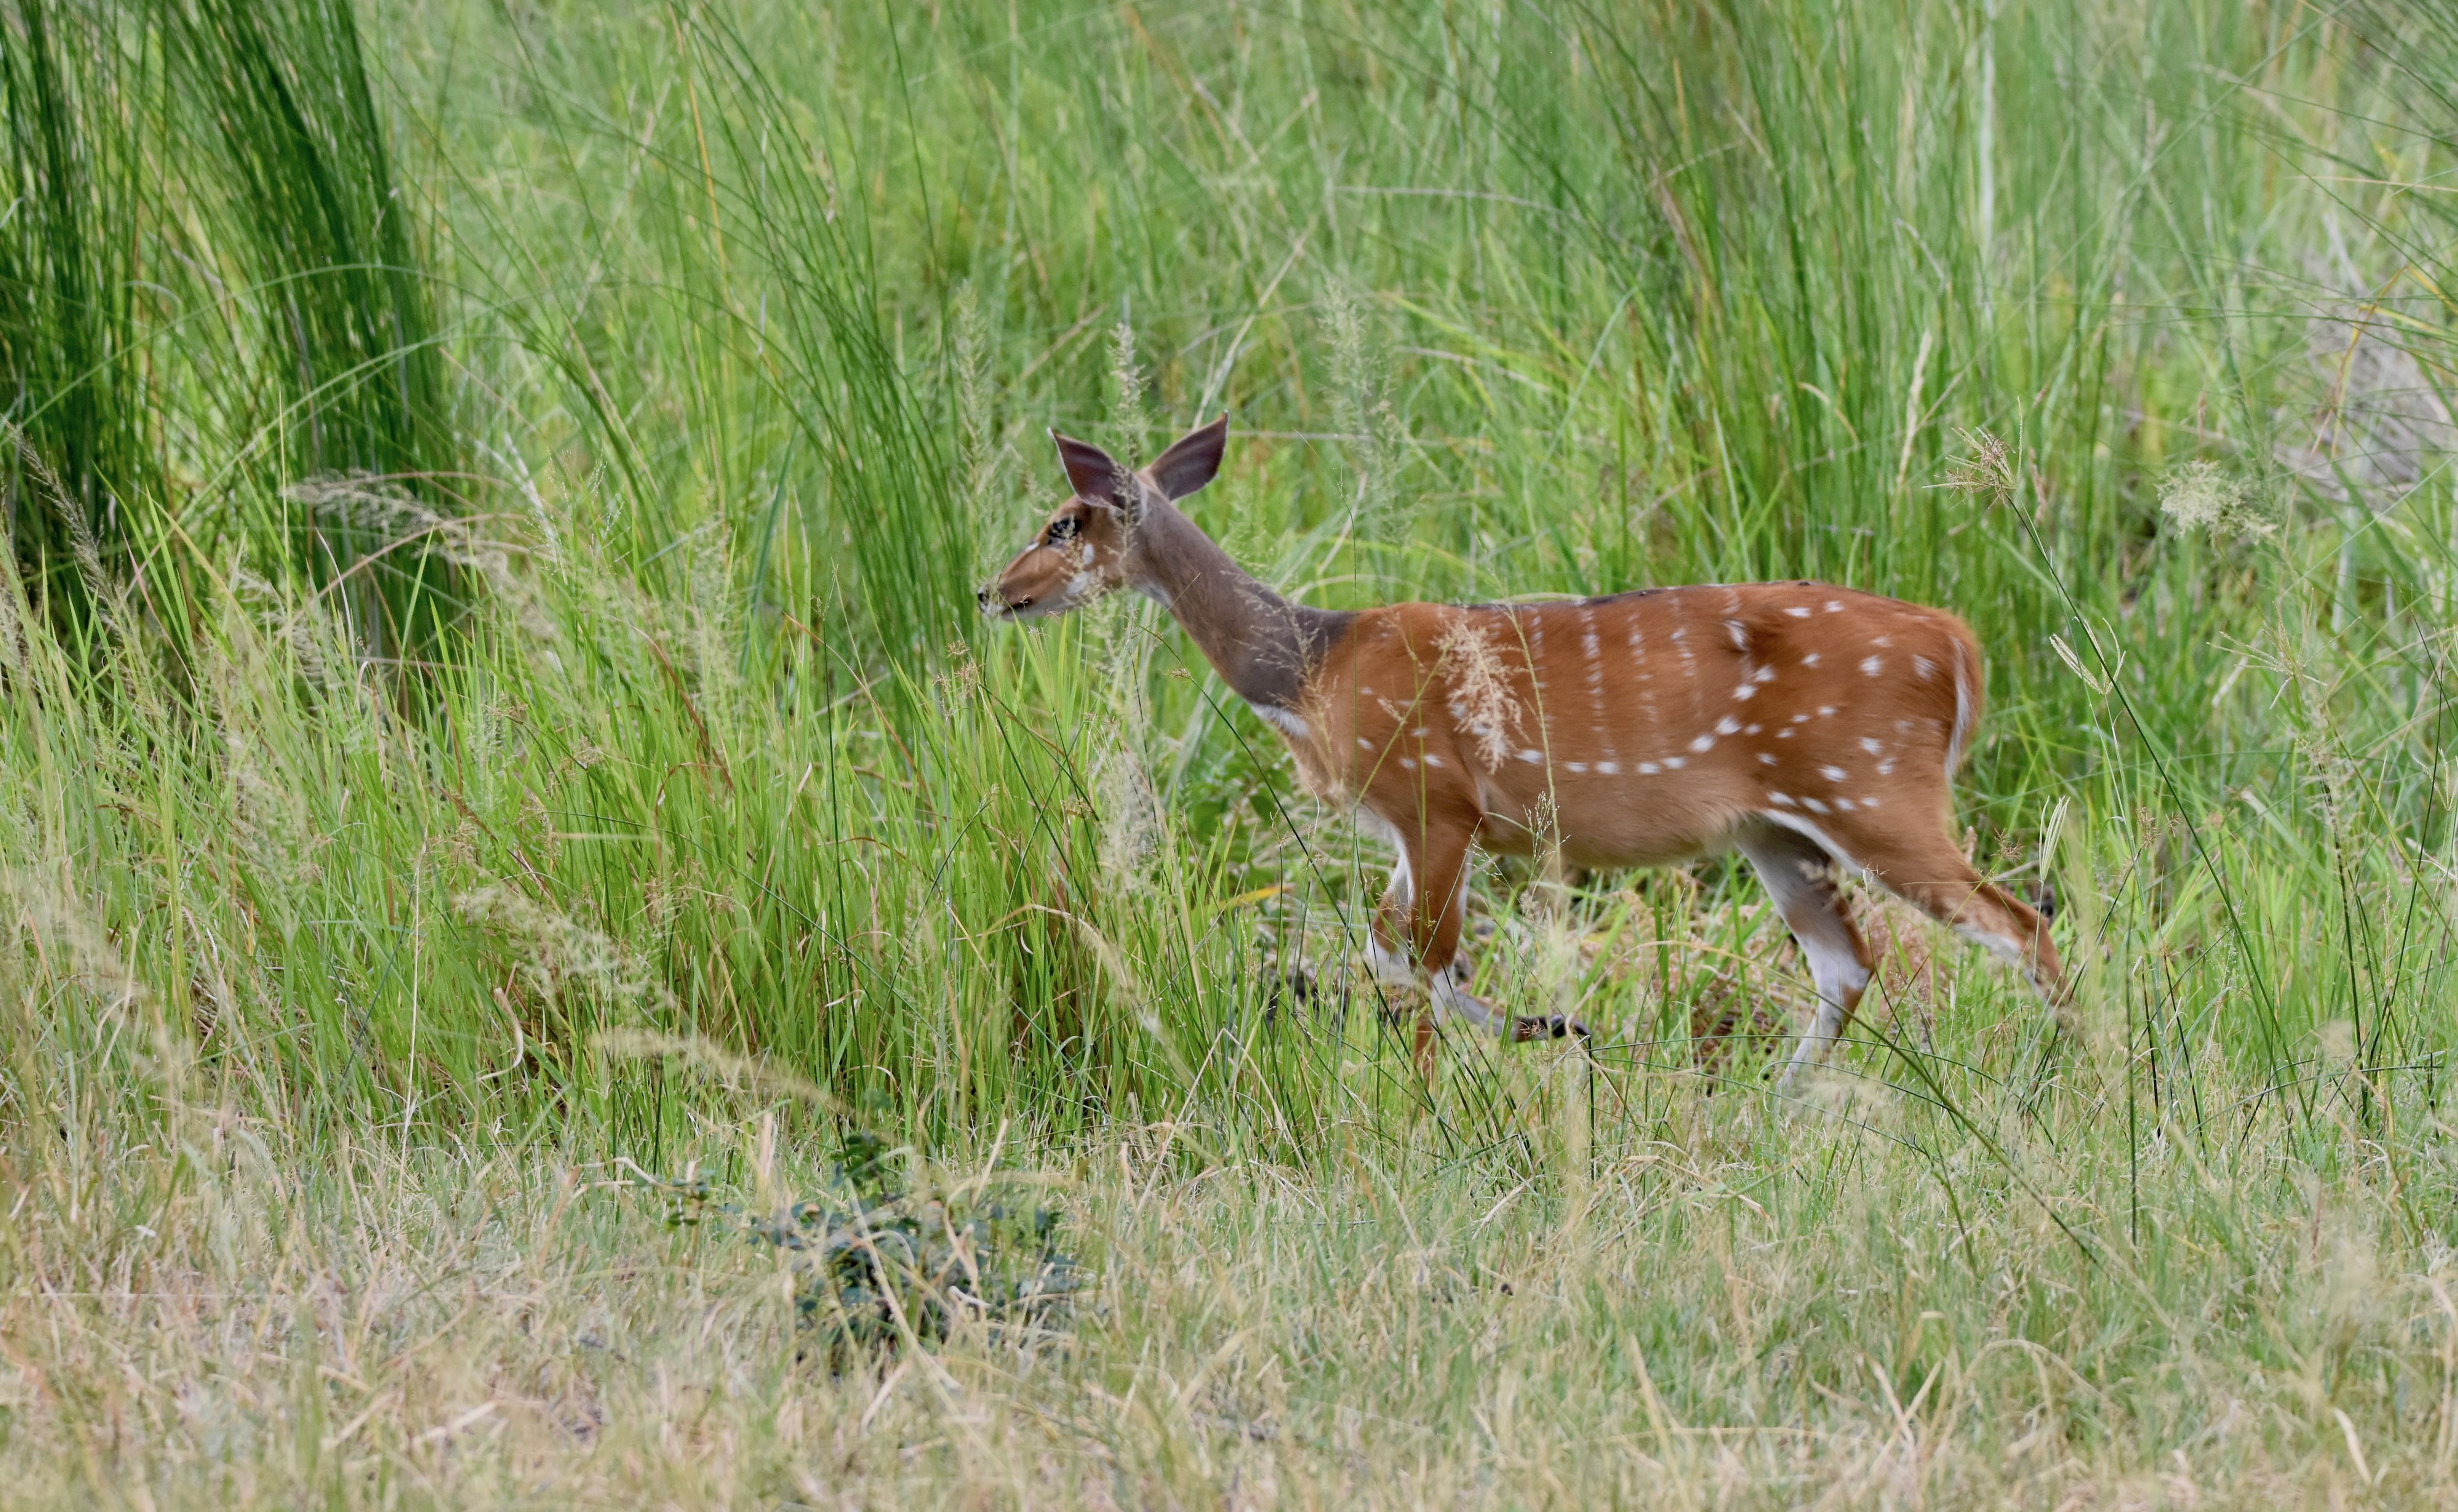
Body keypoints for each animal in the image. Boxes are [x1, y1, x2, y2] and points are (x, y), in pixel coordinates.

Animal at [978, 413, 2055, 1076]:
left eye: (1061, 522)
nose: (991, 590)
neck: (1311, 669)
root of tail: (1959, 648)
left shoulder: (1433, 799)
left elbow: (1418, 953)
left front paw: (1439, 1096)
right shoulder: (1412, 825)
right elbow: (1392, 945)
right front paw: (1549, 1029)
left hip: (1874, 789)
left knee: (2019, 923)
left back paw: (2069, 1079)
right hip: (1779, 829)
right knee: (1847, 964)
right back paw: (1779, 1109)